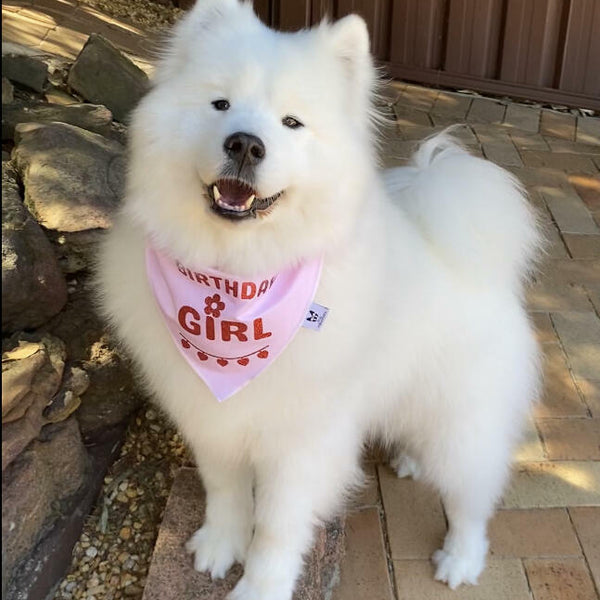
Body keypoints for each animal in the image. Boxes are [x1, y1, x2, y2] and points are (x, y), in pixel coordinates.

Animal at [96, 2, 540, 596]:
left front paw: (258, 587)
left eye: (291, 123)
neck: (237, 278)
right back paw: (409, 460)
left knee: (472, 497)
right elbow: (225, 492)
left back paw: (460, 560)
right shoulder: (211, 417)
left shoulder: (301, 443)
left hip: (461, 422)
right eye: (221, 104)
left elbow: (276, 528)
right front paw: (219, 546)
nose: (245, 143)